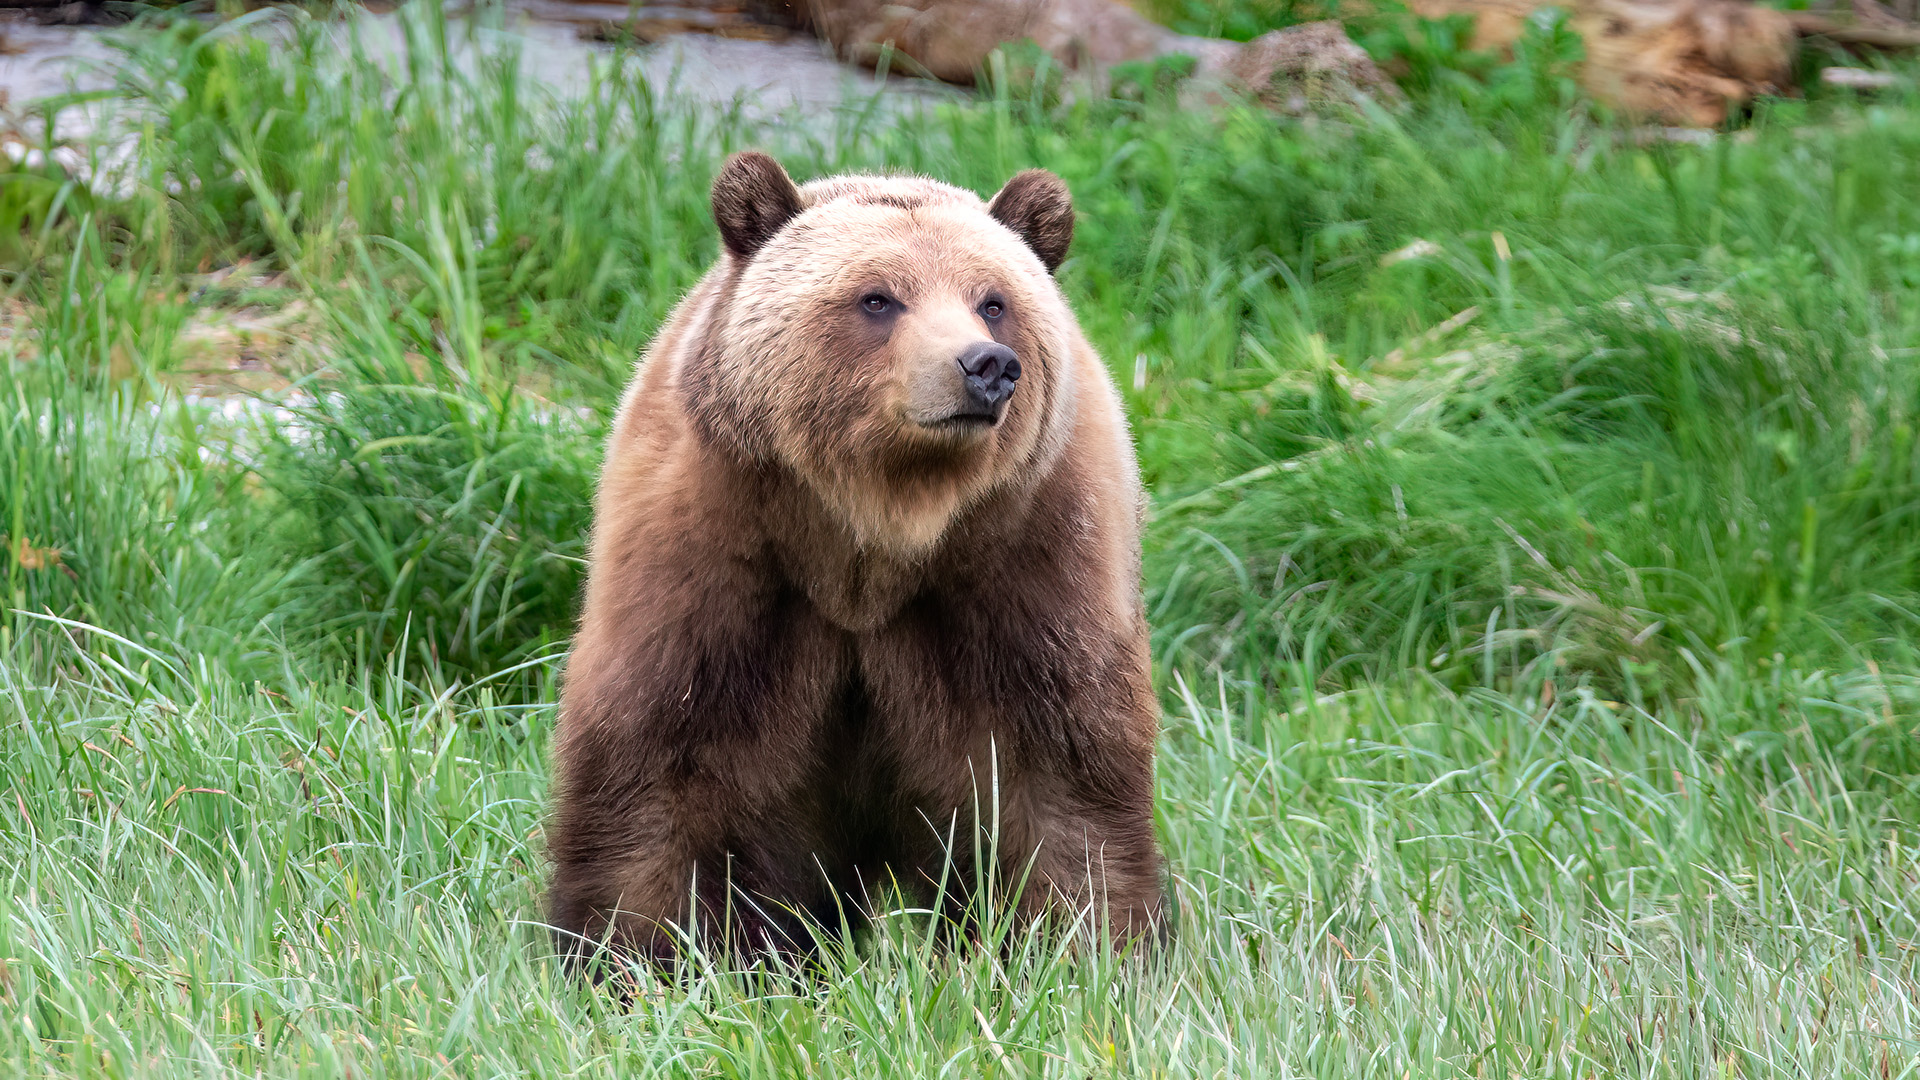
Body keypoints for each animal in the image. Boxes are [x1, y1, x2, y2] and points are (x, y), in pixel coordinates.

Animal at [546, 151, 1164, 972]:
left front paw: (1087, 948)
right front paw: (636, 954)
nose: (985, 366)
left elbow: (1061, 770)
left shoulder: (1026, 560)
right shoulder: (718, 556)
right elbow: (659, 754)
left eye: (993, 301)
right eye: (878, 298)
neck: (875, 535)